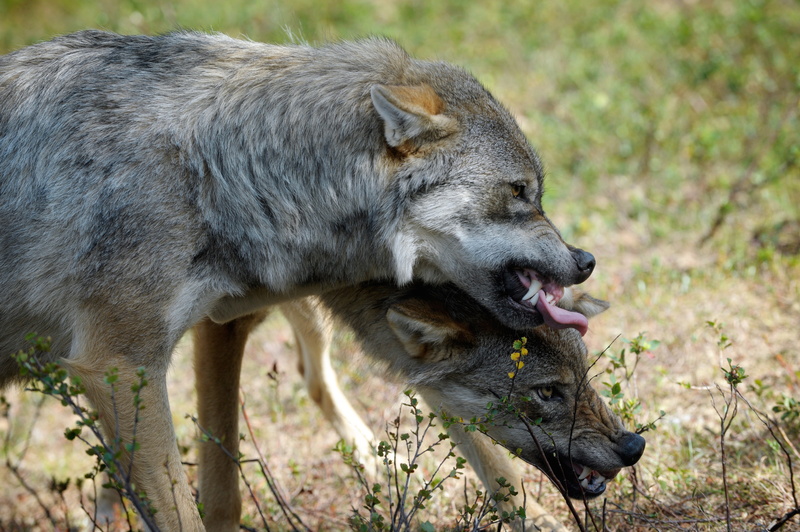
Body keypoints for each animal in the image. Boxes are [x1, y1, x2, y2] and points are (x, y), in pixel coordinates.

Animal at [1, 31, 596, 529]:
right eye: (519, 192)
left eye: (535, 192)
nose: (586, 260)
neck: (223, 166)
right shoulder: (120, 365)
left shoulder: (218, 324)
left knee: (313, 374)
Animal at [192, 286, 645, 531]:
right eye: (548, 392)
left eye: (586, 373)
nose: (634, 447)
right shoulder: (217, 321)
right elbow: (221, 492)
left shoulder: (425, 372)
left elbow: (495, 465)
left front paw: (535, 521)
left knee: (312, 377)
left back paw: (376, 458)